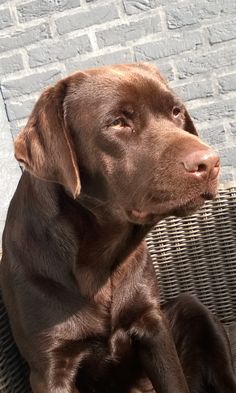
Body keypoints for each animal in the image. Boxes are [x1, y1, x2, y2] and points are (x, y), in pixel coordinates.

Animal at [0, 64, 236, 392]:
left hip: (194, 309)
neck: (99, 259)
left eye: (176, 111)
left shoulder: (153, 327)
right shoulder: (49, 367)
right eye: (118, 122)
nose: (210, 162)